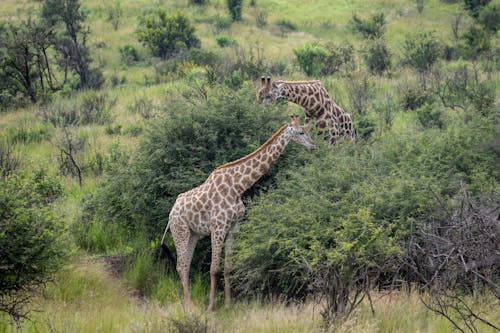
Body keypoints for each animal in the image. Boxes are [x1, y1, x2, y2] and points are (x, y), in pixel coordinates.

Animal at [161, 115, 316, 310]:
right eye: (301, 132)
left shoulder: (234, 228)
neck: (238, 187)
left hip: (193, 234)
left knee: (186, 265)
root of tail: (171, 213)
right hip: (179, 231)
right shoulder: (218, 227)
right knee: (181, 266)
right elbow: (214, 268)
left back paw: (190, 304)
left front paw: (228, 305)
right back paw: (189, 307)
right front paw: (211, 308)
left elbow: (228, 267)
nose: (313, 146)